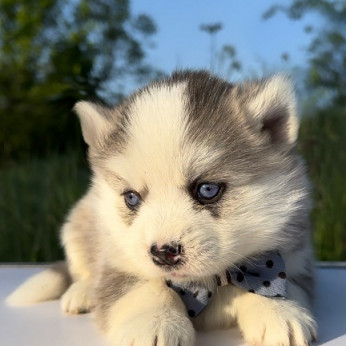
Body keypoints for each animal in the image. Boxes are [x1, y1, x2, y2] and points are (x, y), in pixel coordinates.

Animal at [7, 70, 316, 346]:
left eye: (207, 190)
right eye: (131, 198)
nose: (163, 253)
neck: (206, 284)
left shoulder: (294, 261)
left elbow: (274, 286)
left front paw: (278, 310)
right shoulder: (119, 264)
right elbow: (145, 286)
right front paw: (154, 323)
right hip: (78, 224)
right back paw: (82, 292)